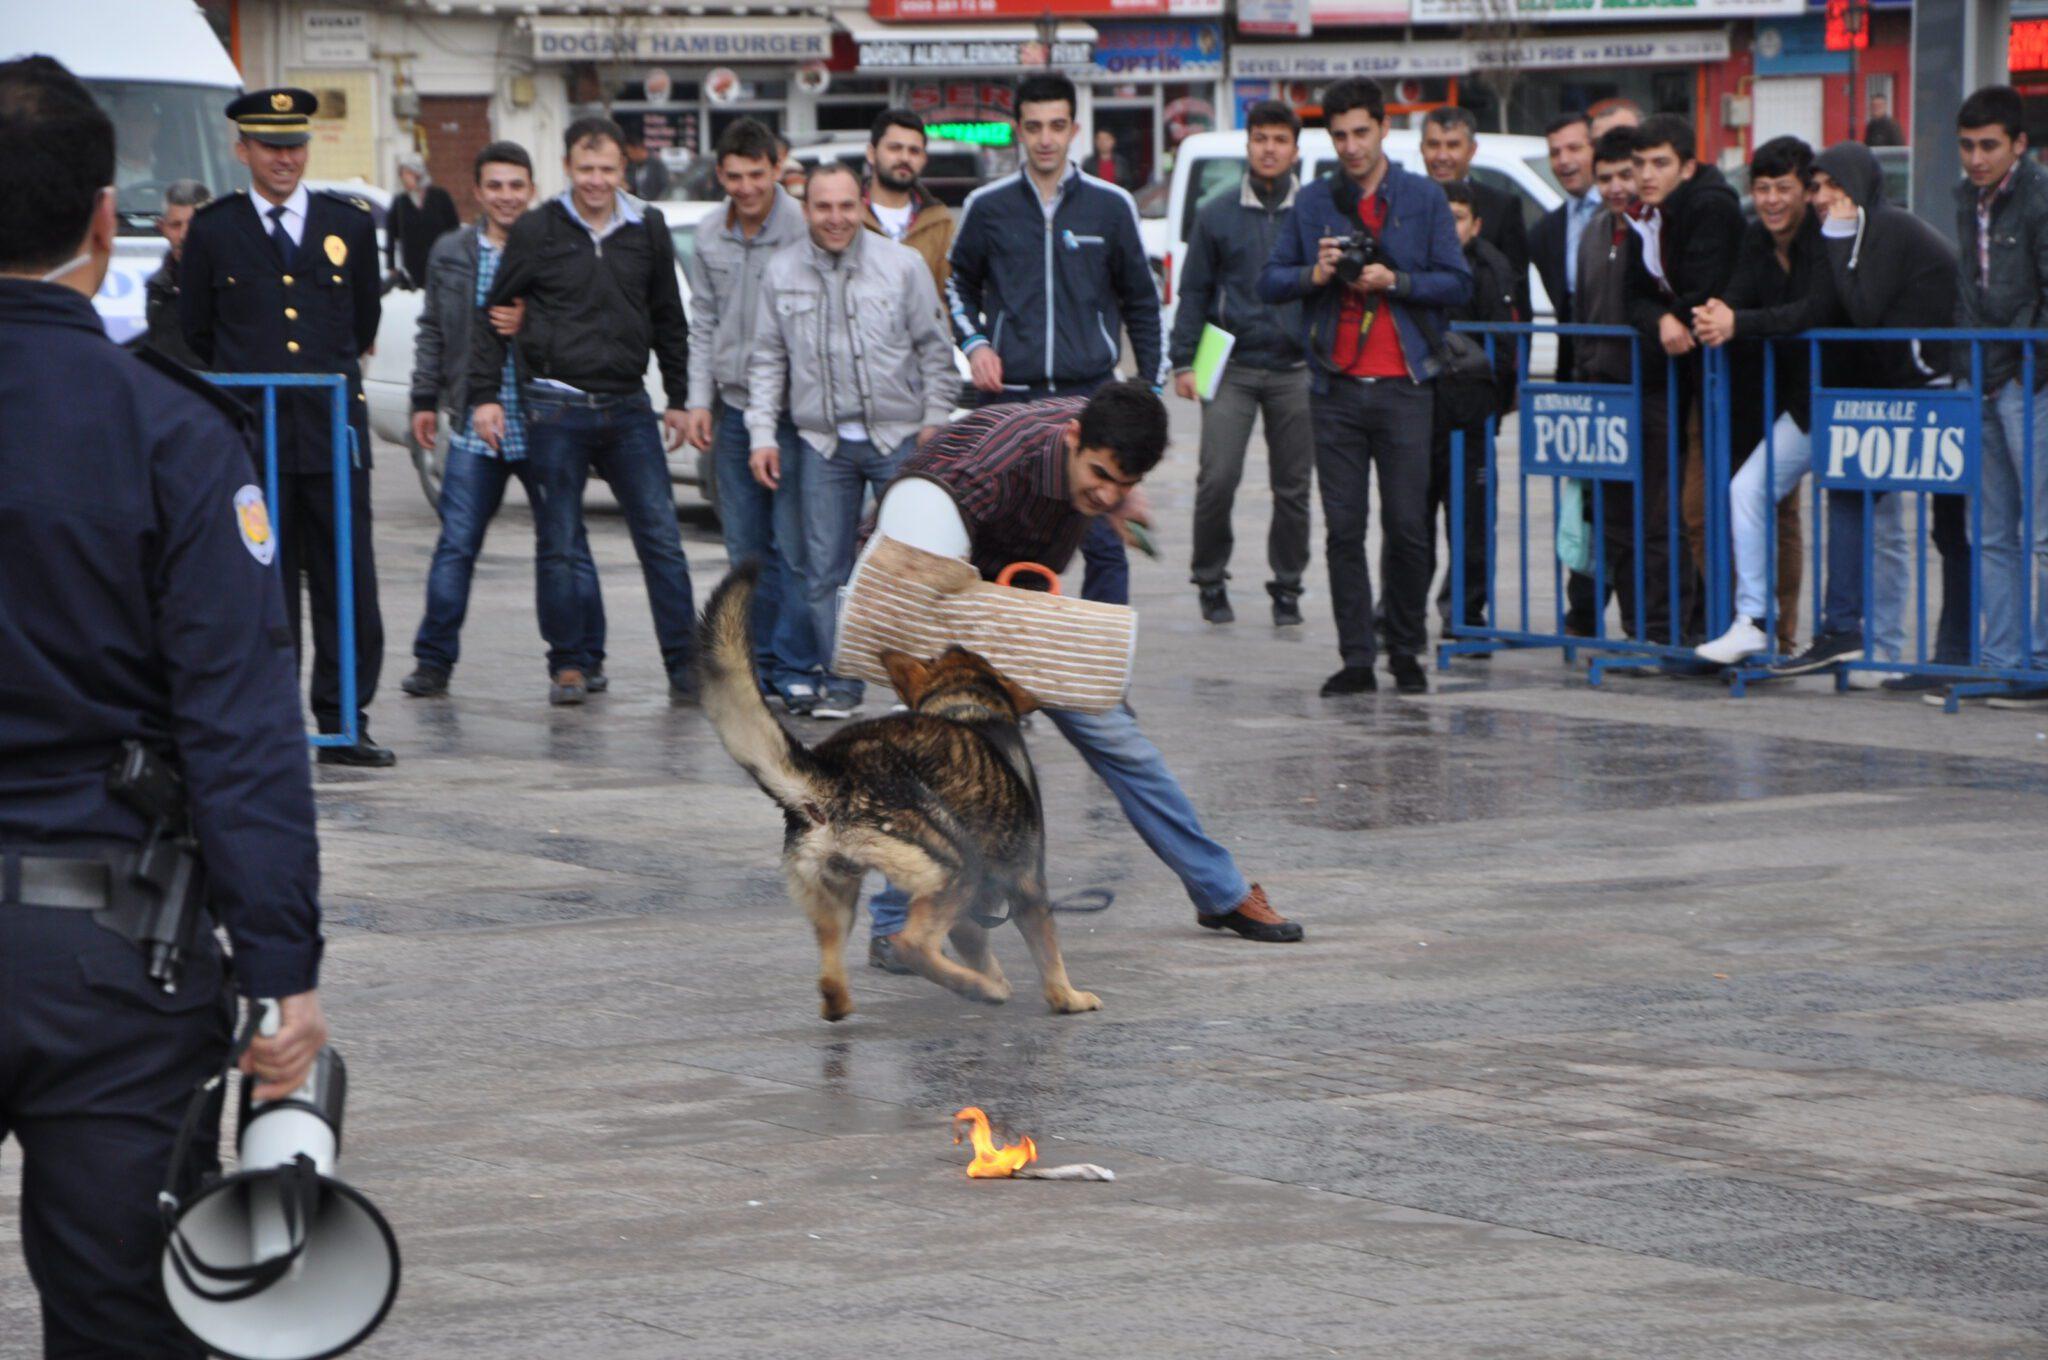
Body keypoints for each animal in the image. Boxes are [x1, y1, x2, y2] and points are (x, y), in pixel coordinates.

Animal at [696, 561, 1097, 1020]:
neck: (965, 700)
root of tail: (831, 776)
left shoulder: (970, 914)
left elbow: (977, 945)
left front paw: (994, 978)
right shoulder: (1029, 888)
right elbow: (1049, 956)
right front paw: (1067, 998)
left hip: (838, 896)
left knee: (832, 976)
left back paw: (851, 1001)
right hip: (958, 865)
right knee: (911, 945)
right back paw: (977, 988)